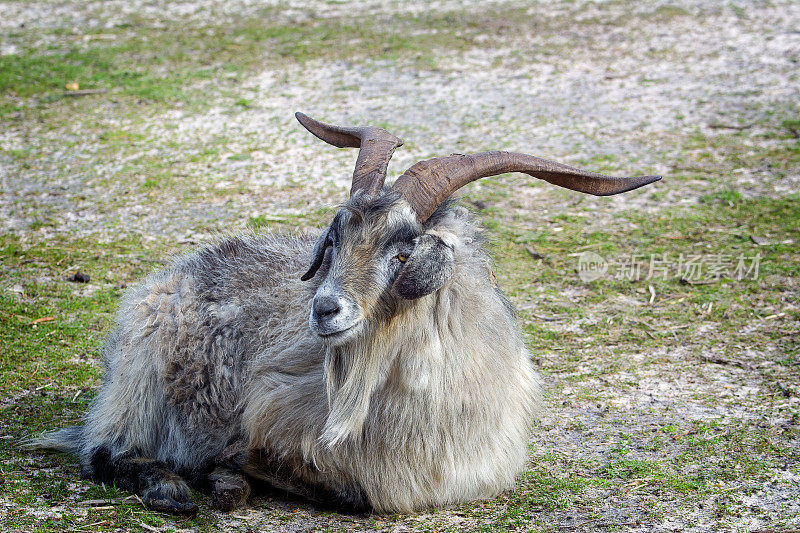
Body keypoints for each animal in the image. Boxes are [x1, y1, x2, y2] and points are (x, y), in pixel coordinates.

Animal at [28, 113, 660, 516]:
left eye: (401, 252)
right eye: (334, 241)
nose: (324, 309)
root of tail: (174, 274)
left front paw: (231, 472)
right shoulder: (273, 407)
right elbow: (351, 494)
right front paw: (227, 467)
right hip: (139, 382)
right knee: (105, 454)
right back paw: (174, 488)